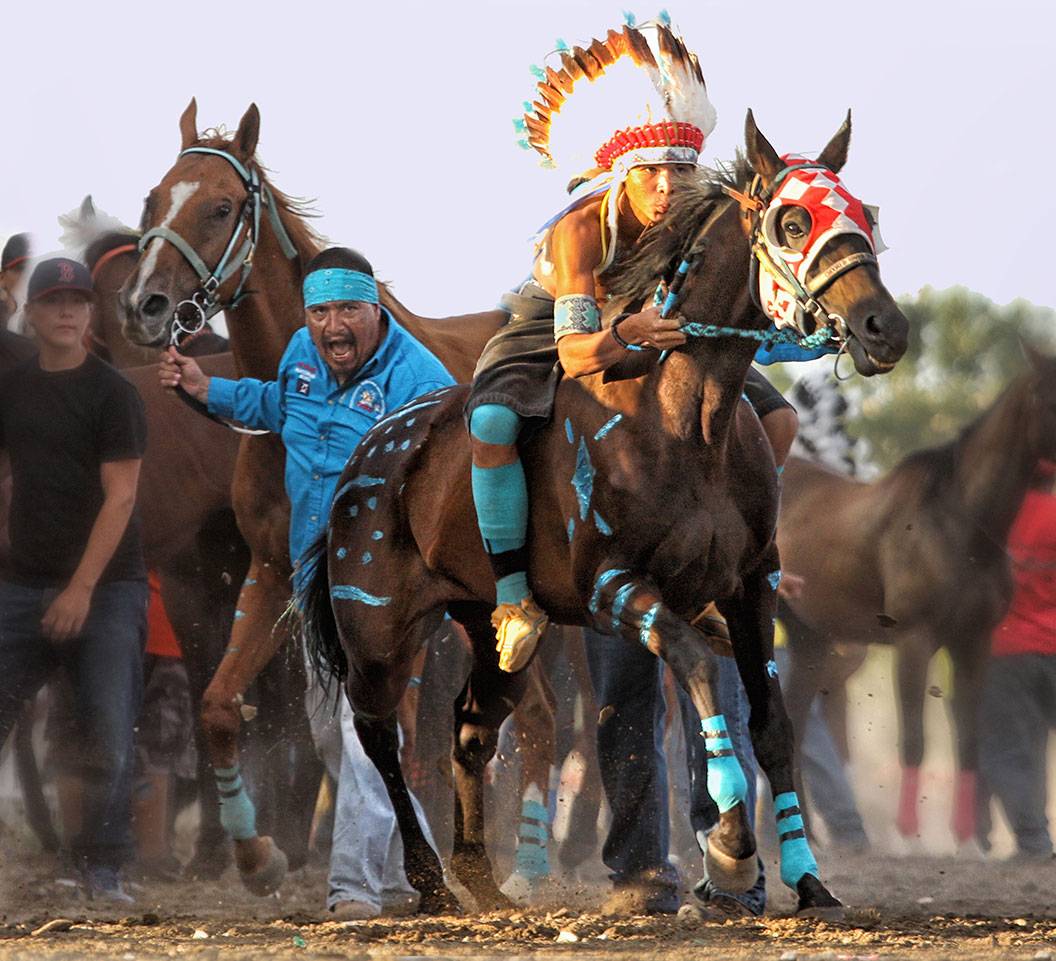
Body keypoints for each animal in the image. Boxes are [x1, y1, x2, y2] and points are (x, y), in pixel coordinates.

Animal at [299, 112, 908, 916]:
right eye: (793, 219)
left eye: (865, 213)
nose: (883, 328)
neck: (685, 419)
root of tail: (363, 459)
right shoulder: (613, 587)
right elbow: (695, 664)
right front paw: (730, 844)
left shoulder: (753, 584)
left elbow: (771, 722)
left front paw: (807, 877)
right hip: (377, 633)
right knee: (380, 737)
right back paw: (429, 879)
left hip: (482, 628)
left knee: (469, 730)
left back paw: (480, 874)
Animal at [777, 350, 1056, 844]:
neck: (960, 525)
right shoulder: (914, 639)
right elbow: (914, 741)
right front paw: (910, 832)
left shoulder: (974, 642)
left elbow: (969, 739)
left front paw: (966, 835)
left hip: (809, 638)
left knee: (794, 724)